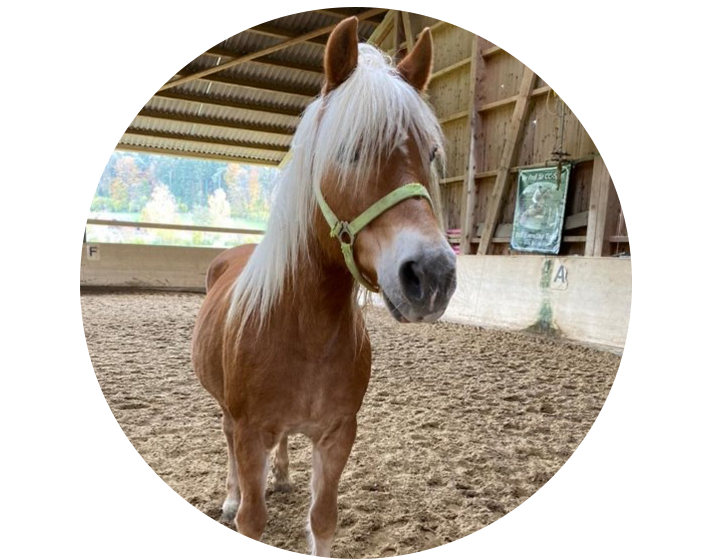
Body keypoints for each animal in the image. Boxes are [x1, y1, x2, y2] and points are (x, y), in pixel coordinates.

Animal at [192, 17, 457, 559]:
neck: (303, 330)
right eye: (349, 150)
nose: (432, 275)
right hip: (229, 415)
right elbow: (252, 522)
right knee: (225, 440)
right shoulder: (250, 432)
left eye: (432, 154)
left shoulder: (337, 434)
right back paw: (229, 496)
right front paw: (241, 505)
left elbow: (324, 519)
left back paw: (282, 475)